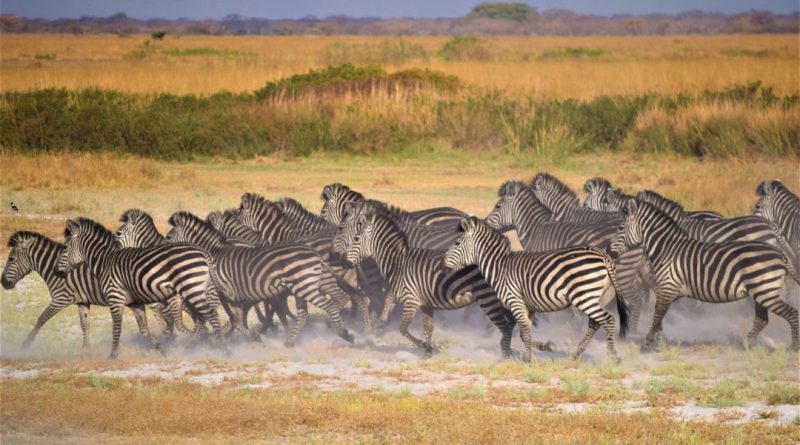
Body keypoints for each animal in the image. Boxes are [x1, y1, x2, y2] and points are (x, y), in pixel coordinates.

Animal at [55, 217, 225, 360]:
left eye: (65, 247)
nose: (56, 272)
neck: (105, 262)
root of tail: (203, 252)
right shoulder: (135, 303)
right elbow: (144, 330)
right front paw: (163, 349)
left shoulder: (115, 298)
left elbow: (116, 328)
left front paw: (113, 355)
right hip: (197, 290)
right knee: (204, 316)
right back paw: (197, 343)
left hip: (191, 288)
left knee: (210, 314)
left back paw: (222, 347)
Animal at [167, 210, 354, 346]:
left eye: (168, 237)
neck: (214, 254)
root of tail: (315, 253)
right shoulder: (235, 298)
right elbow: (236, 320)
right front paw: (250, 337)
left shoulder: (215, 293)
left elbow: (207, 317)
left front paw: (194, 343)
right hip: (307, 284)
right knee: (314, 310)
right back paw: (290, 341)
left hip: (305, 286)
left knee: (330, 304)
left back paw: (344, 334)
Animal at [334, 203, 548, 360]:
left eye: (355, 238)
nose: (341, 260)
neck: (398, 261)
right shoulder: (425, 303)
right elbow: (428, 329)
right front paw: (428, 350)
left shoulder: (411, 300)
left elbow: (403, 328)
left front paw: (424, 347)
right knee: (514, 322)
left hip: (489, 299)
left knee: (507, 324)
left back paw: (506, 352)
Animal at [444, 217, 624, 362]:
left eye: (457, 243)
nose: (443, 262)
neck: (500, 267)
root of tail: (603, 255)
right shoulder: (528, 306)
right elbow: (525, 335)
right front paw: (545, 349)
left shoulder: (515, 301)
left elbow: (524, 333)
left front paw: (531, 361)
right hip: (595, 296)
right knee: (595, 323)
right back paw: (576, 355)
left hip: (584, 296)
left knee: (608, 320)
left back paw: (613, 357)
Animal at [608, 199, 796, 352]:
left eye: (620, 228)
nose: (609, 252)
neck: (668, 249)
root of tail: (779, 254)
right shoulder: (669, 291)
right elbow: (660, 318)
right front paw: (659, 340)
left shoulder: (667, 288)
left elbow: (657, 317)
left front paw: (647, 343)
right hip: (760, 292)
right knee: (762, 319)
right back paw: (746, 343)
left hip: (765, 291)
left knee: (791, 313)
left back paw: (793, 348)